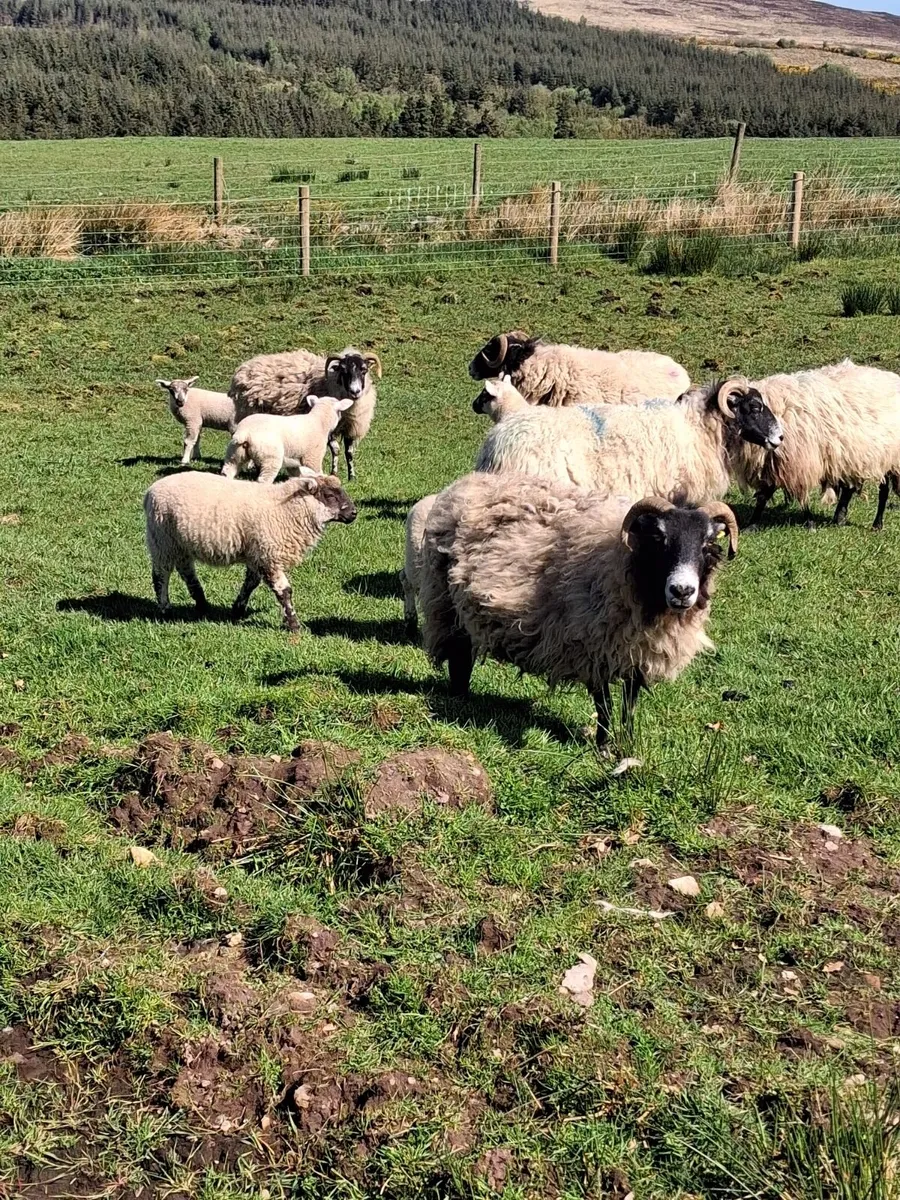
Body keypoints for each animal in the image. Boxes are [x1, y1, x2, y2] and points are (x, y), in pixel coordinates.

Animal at [143, 471, 357, 632]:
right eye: (329, 496)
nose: (354, 513)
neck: (286, 509)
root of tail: (150, 491)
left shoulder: (258, 554)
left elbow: (251, 583)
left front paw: (237, 610)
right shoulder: (269, 555)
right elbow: (284, 592)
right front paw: (295, 626)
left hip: (181, 544)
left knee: (187, 572)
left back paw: (202, 605)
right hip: (161, 540)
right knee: (161, 576)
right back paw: (166, 611)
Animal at [221, 397, 353, 484]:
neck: (319, 422)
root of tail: (245, 433)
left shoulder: (293, 457)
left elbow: (296, 473)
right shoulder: (313, 457)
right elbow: (317, 472)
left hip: (235, 451)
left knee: (228, 470)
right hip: (270, 456)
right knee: (264, 479)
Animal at [229, 347, 382, 480]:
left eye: (364, 370)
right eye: (343, 370)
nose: (355, 391)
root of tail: (244, 367)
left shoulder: (351, 427)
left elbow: (349, 453)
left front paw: (352, 477)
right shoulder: (327, 428)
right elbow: (336, 449)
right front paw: (334, 472)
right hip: (248, 413)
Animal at [420, 472, 739, 746]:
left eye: (707, 543)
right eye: (659, 538)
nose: (682, 591)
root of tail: (464, 484)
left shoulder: (635, 654)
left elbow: (630, 705)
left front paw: (628, 743)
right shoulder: (592, 649)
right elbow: (605, 704)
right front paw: (604, 747)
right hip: (446, 607)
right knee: (459, 657)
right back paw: (460, 699)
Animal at [691, 363, 900, 530]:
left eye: (755, 407)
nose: (780, 437)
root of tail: (892, 377)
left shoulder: (798, 462)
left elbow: (801, 495)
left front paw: (809, 523)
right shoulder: (771, 462)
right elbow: (763, 496)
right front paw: (752, 524)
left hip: (890, 458)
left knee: (883, 491)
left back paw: (877, 524)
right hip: (853, 457)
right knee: (850, 488)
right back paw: (839, 518)